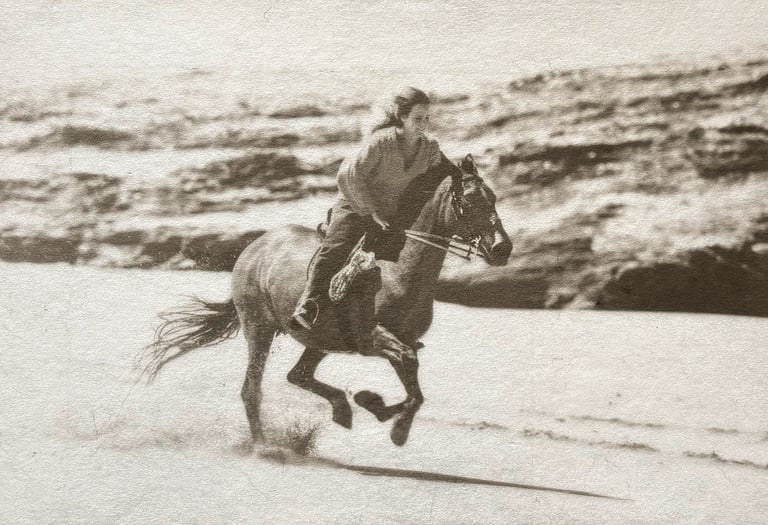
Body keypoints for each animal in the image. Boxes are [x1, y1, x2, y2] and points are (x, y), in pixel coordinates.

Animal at [143, 153, 512, 446]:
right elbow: (410, 374)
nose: (502, 249)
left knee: (298, 376)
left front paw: (378, 410)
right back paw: (264, 446)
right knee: (252, 390)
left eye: (493, 197)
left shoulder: (401, 340)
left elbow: (415, 389)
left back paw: (342, 409)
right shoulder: (373, 337)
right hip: (259, 329)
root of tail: (255, 247)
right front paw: (387, 418)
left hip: (317, 339)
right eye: (469, 202)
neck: (397, 270)